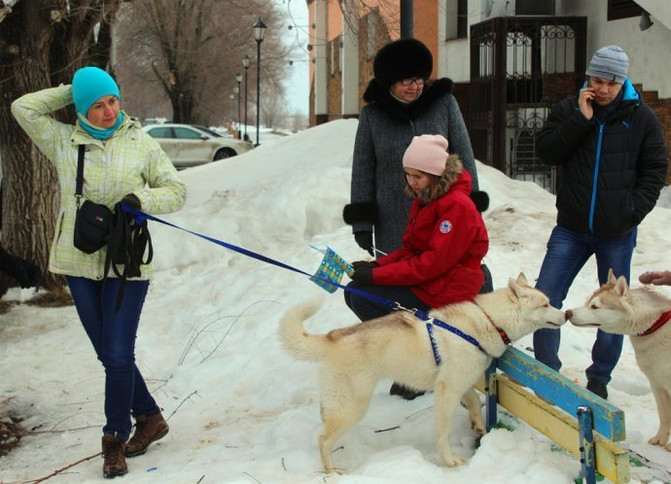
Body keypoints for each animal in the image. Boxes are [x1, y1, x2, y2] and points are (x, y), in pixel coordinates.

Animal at [278, 274, 568, 474]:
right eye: (545, 304)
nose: (565, 313)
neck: (487, 320)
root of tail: (331, 337)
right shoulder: (447, 393)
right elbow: (443, 433)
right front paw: (449, 461)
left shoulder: (458, 384)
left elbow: (475, 402)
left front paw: (477, 427)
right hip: (353, 407)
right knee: (323, 439)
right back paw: (331, 471)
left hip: (339, 403)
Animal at [568, 270, 671, 452]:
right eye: (587, 302)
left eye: (595, 306)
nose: (568, 312)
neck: (655, 324)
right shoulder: (656, 383)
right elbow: (664, 414)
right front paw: (660, 440)